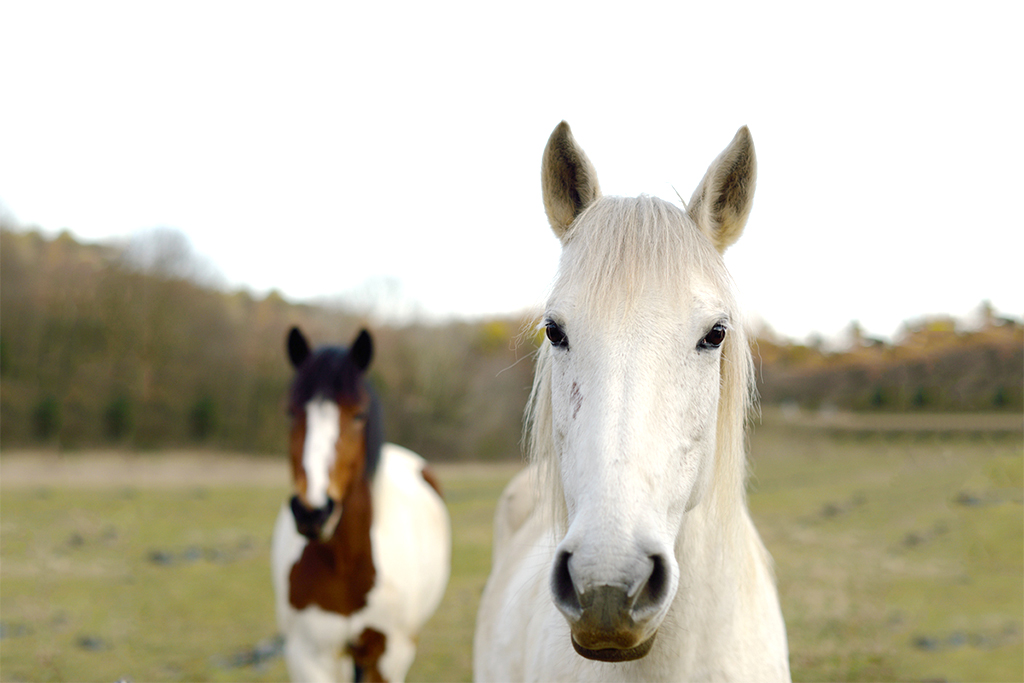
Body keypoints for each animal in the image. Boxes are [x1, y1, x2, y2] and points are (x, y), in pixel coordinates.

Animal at [270, 327, 450, 679]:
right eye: (290, 412)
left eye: (358, 414)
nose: (313, 512)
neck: (345, 562)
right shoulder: (310, 656)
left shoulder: (388, 655)